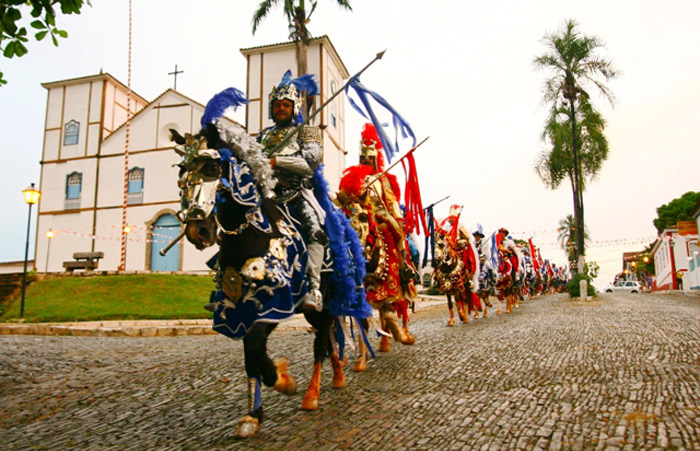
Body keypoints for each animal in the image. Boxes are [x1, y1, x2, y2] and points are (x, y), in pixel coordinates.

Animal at [169, 103, 370, 438]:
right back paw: (337, 377)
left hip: (324, 302)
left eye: (211, 168)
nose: (199, 230)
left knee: (320, 343)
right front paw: (253, 415)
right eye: (182, 174)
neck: (250, 235)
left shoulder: (272, 304)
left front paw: (285, 382)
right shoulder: (239, 308)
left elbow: (256, 349)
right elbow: (251, 357)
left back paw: (312, 394)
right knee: (327, 338)